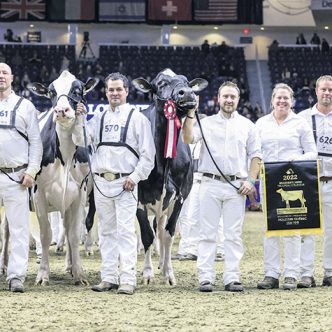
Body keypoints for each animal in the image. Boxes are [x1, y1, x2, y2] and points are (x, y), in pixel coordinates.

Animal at [27, 70, 98, 286]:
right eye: (51, 92)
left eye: (78, 90)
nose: (61, 110)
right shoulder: (38, 194)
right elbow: (44, 234)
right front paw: (43, 274)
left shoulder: (79, 194)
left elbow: (74, 234)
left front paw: (79, 274)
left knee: (68, 229)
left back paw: (70, 266)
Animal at [131, 68, 206, 284]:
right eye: (161, 83)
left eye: (186, 82)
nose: (186, 93)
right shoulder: (138, 198)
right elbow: (147, 235)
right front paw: (147, 274)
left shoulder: (180, 197)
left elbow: (168, 234)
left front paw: (168, 273)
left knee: (161, 230)